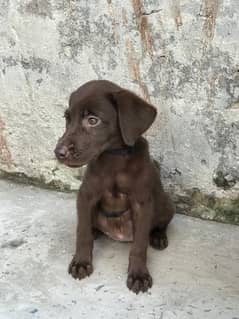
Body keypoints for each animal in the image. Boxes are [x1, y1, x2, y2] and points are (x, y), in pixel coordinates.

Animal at [55, 80, 176, 296]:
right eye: (67, 119)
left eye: (93, 120)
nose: (58, 152)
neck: (114, 157)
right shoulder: (85, 196)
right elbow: (82, 233)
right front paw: (81, 262)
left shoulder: (142, 204)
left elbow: (139, 246)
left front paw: (138, 274)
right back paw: (95, 231)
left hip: (166, 205)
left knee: (161, 224)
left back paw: (158, 237)